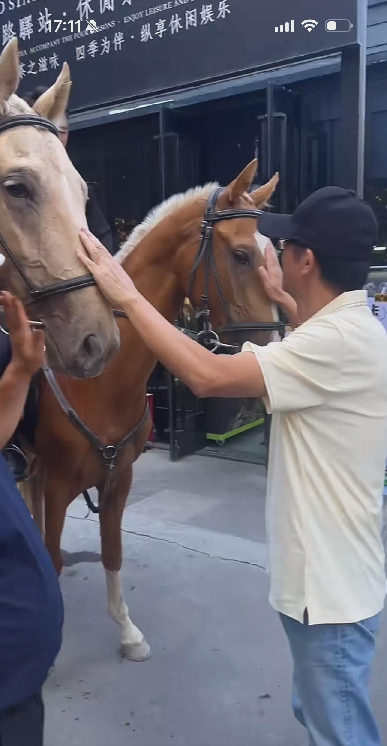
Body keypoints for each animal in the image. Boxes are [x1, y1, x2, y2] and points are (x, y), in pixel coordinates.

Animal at [28, 161, 280, 656]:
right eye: (242, 255)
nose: (273, 344)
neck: (100, 382)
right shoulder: (57, 485)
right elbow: (53, 556)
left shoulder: (118, 480)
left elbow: (112, 551)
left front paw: (127, 632)